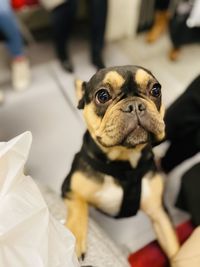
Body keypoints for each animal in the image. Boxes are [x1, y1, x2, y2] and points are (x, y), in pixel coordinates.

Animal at [61, 66, 180, 262]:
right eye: (102, 95)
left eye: (156, 90)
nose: (135, 105)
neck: (124, 163)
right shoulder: (71, 189)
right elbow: (78, 210)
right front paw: (74, 239)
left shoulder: (159, 213)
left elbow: (175, 249)